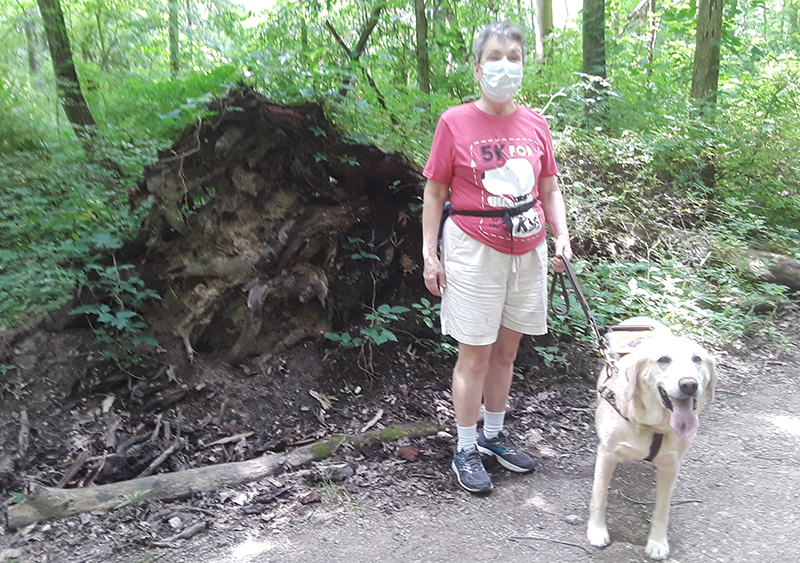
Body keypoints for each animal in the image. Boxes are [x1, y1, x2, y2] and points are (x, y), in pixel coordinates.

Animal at [588, 318, 720, 560]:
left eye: (697, 359)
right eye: (663, 359)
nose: (689, 384)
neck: (652, 426)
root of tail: (640, 320)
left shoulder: (670, 465)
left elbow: (662, 509)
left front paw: (658, 542)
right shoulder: (607, 455)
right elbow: (599, 496)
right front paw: (597, 530)